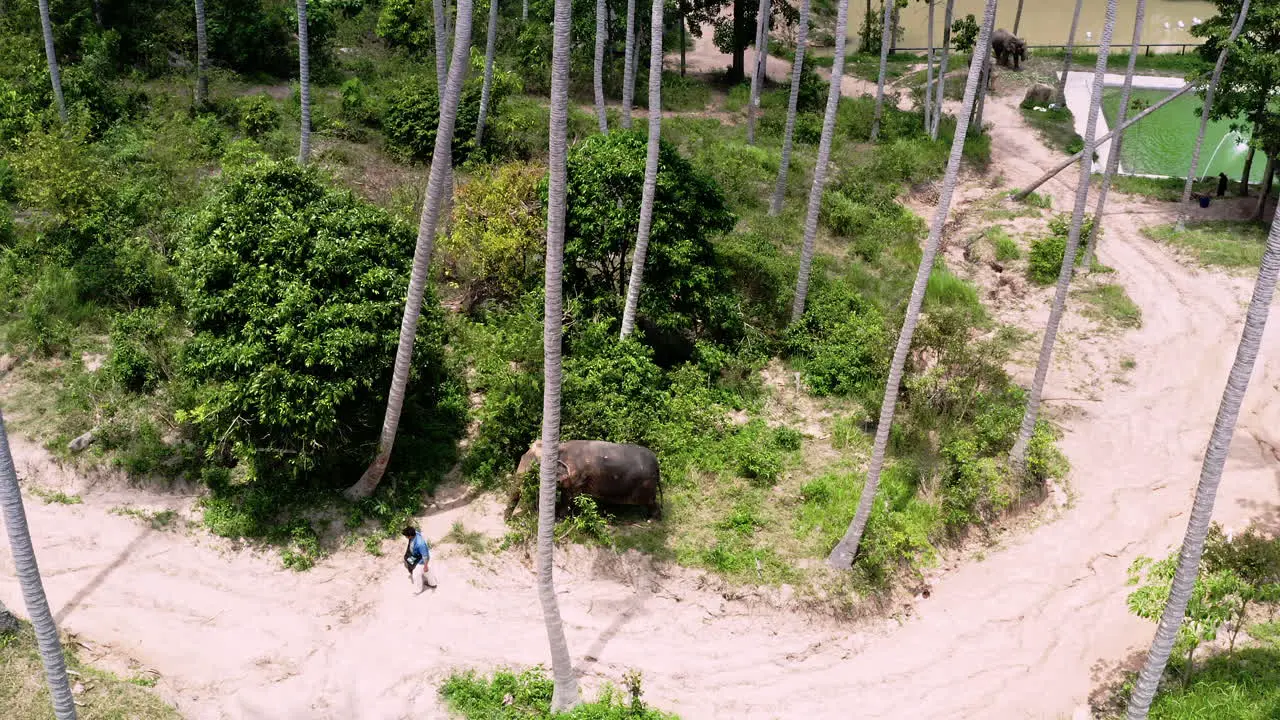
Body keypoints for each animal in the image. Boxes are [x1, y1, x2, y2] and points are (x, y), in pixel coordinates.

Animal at [501, 440, 665, 517]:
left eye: (534, 468)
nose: (508, 520)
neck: (560, 446)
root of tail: (658, 465)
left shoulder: (577, 476)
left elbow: (568, 497)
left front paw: (559, 518)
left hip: (646, 486)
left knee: (651, 502)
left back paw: (652, 519)